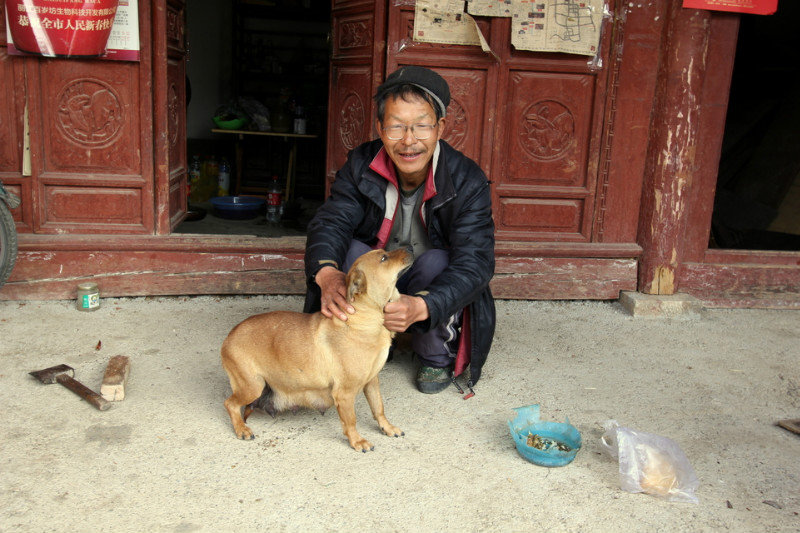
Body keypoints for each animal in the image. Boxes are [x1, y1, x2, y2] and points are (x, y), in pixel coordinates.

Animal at [223, 247, 412, 450]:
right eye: (384, 258)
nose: (410, 247)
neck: (368, 317)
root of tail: (229, 336)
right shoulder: (344, 394)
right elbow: (350, 421)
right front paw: (357, 441)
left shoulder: (372, 382)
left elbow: (378, 408)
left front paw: (387, 427)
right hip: (253, 386)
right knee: (230, 404)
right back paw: (241, 429)